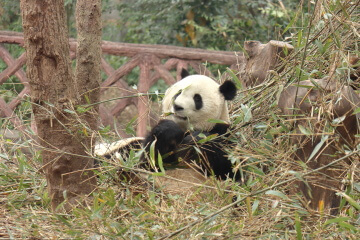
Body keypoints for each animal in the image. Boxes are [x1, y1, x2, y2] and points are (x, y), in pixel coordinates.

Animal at [95, 69, 239, 182]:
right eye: (179, 92)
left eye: (197, 98)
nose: (177, 106)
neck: (185, 129)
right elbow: (150, 160)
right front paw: (171, 131)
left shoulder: (224, 132)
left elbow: (229, 168)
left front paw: (196, 139)